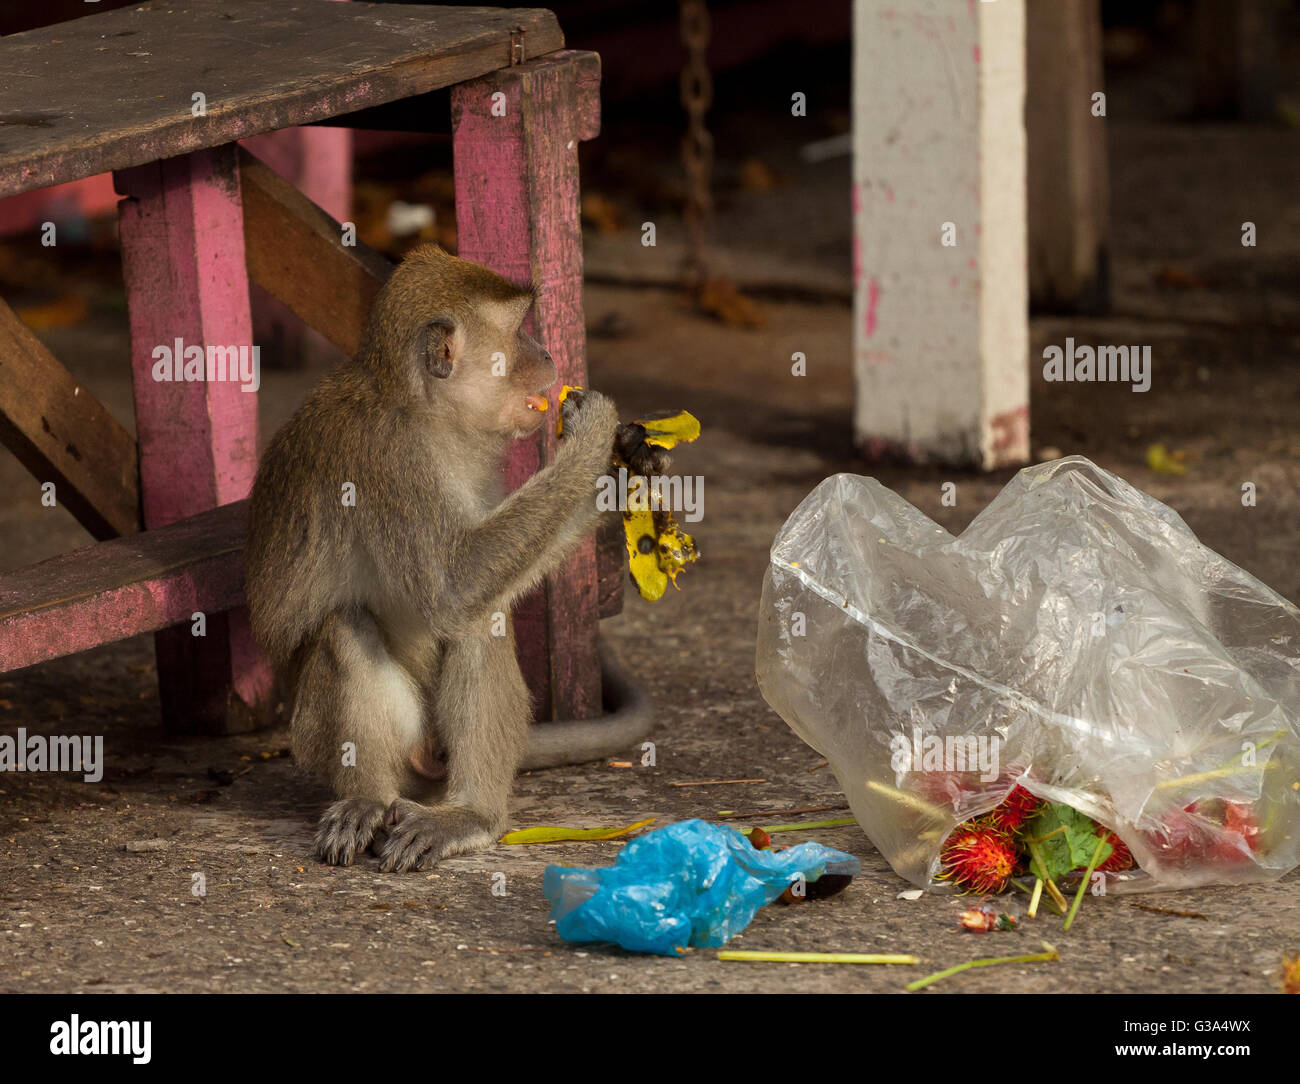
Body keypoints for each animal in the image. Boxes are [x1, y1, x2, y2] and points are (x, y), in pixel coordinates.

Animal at [249, 243, 624, 868]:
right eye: (517, 331)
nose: (547, 353)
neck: (424, 413)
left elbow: (476, 590)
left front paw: (628, 473)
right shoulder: (387, 460)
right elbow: (455, 586)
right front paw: (598, 435)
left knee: (480, 620)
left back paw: (471, 812)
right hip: (320, 744)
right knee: (355, 624)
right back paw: (373, 799)